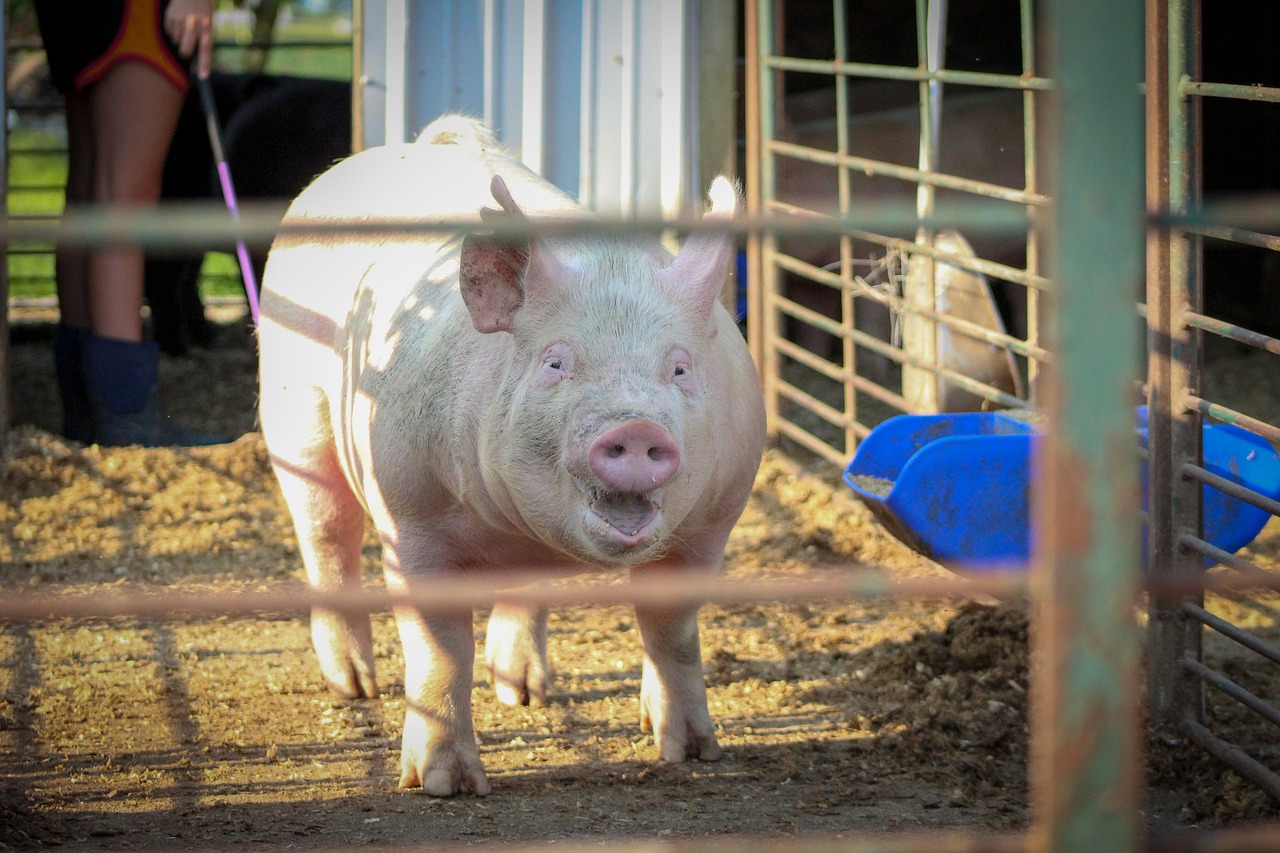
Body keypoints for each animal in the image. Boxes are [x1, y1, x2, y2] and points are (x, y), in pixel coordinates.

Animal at [257, 115, 766, 796]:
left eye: (680, 368)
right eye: (555, 363)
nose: (634, 426)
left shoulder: (713, 521)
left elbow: (671, 629)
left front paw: (692, 752)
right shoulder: (410, 519)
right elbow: (440, 651)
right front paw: (444, 786)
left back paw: (525, 693)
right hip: (294, 413)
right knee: (325, 534)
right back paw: (357, 687)